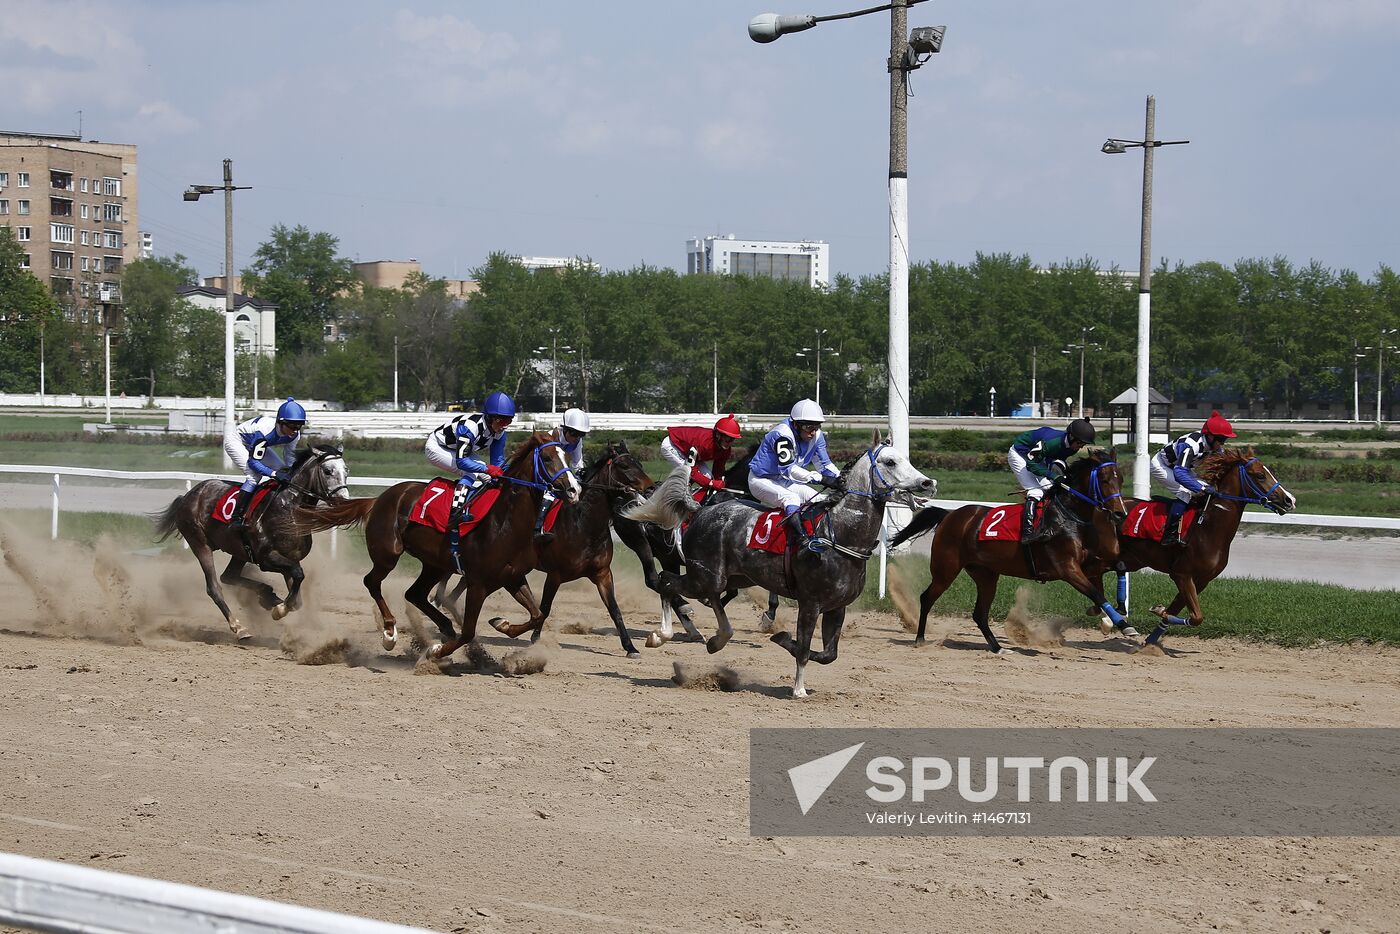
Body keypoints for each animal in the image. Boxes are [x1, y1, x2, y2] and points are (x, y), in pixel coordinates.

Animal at [151, 448, 350, 644]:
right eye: (328, 471)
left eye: (346, 471)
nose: (344, 501)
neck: (289, 508)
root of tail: (188, 496)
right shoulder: (266, 558)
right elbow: (298, 575)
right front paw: (279, 610)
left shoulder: (290, 556)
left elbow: (297, 597)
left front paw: (277, 603)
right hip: (200, 544)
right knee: (214, 587)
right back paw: (239, 628)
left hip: (239, 551)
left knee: (228, 576)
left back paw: (266, 596)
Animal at [292, 428, 582, 658]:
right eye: (547, 458)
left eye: (568, 457)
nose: (573, 490)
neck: (505, 523)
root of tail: (379, 498)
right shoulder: (477, 583)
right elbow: (469, 631)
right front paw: (437, 651)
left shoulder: (513, 577)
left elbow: (538, 615)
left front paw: (502, 623)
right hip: (388, 553)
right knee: (372, 582)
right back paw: (390, 632)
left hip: (435, 564)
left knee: (415, 594)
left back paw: (444, 626)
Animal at [621, 434, 929, 697]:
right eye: (890, 461)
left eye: (905, 458)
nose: (928, 483)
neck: (839, 535)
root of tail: (700, 510)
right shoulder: (811, 602)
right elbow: (804, 648)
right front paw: (798, 689)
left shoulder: (837, 606)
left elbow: (828, 655)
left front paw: (781, 638)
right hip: (703, 575)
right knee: (665, 580)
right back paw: (661, 635)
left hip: (730, 577)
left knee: (711, 597)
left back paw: (716, 639)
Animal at [890, 448, 1131, 655]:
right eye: (1105, 480)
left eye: (1120, 479)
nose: (1120, 514)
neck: (1068, 517)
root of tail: (950, 515)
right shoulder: (1068, 568)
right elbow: (1096, 593)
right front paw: (1124, 625)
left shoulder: (1090, 563)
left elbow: (1115, 571)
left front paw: (1111, 613)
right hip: (946, 569)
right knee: (927, 598)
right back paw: (920, 638)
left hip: (985, 575)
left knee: (979, 614)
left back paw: (998, 648)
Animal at [1086, 448, 1293, 646]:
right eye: (1260, 475)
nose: (1289, 500)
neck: (1208, 528)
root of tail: (1104, 507)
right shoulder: (1182, 574)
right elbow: (1196, 617)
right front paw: (1158, 611)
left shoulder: (1202, 580)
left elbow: (1177, 612)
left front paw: (1151, 640)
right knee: (1091, 572)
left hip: (1131, 559)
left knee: (1101, 573)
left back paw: (1108, 617)